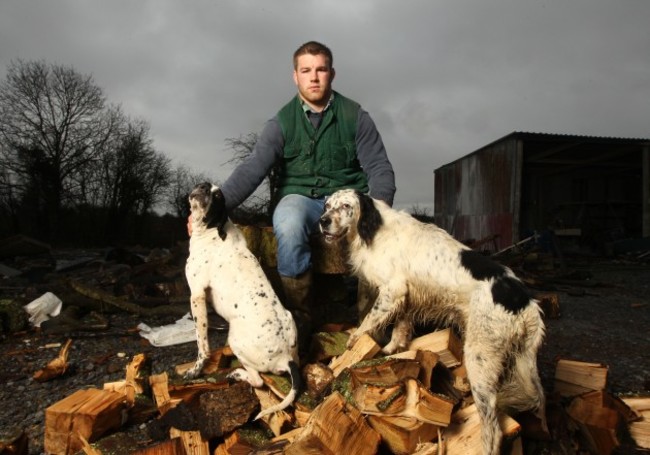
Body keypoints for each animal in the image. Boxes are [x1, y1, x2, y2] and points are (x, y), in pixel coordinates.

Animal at [185, 182, 302, 420]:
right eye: (204, 186)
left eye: (218, 197)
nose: (204, 189)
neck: (212, 231)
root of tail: (286, 357)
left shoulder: (197, 295)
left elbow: (201, 344)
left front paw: (195, 369)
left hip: (235, 339)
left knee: (257, 381)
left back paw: (237, 374)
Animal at [316, 189, 544, 455]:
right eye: (327, 206)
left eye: (346, 206)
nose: (323, 221)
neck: (373, 230)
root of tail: (527, 302)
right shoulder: (406, 297)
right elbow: (399, 330)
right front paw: (392, 351)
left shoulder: (392, 290)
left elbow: (368, 322)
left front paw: (354, 342)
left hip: (480, 360)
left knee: (493, 428)